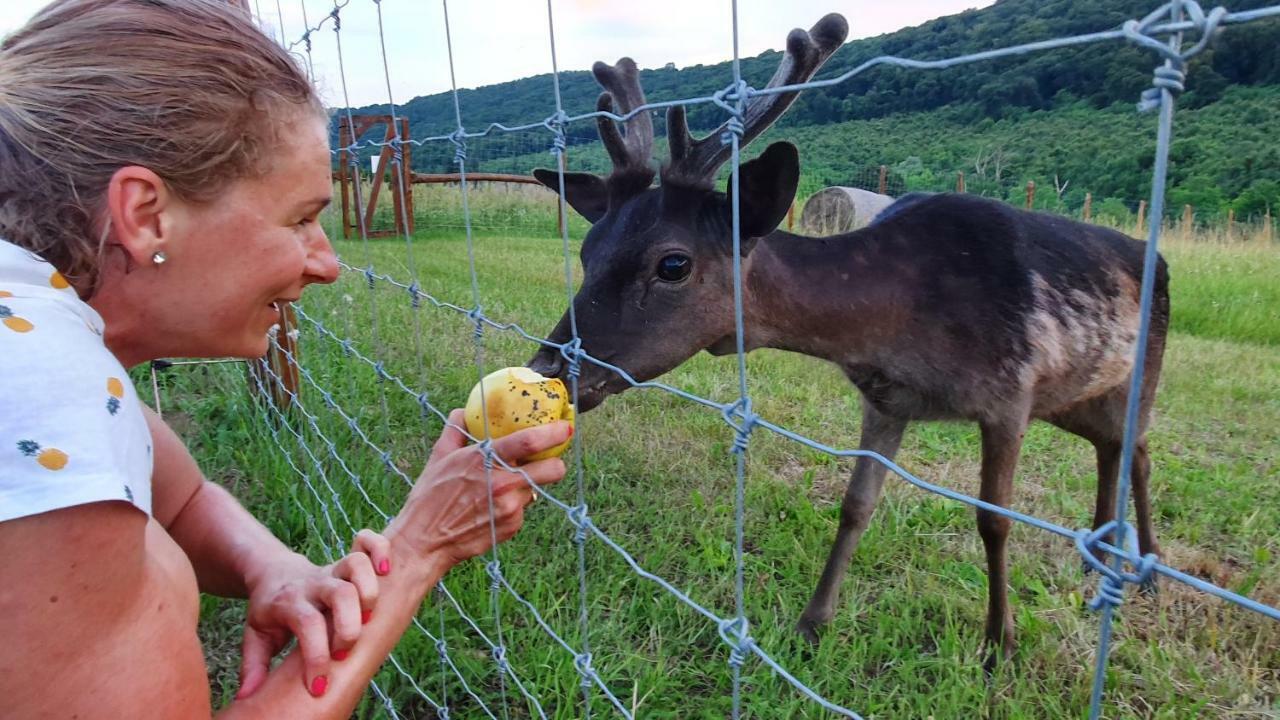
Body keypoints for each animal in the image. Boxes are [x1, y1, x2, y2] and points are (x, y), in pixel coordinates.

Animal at [522, 11, 1172, 666]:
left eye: (673, 263)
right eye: (587, 250)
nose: (550, 366)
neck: (902, 317)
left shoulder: (1011, 394)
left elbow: (995, 521)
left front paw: (999, 644)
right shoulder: (885, 400)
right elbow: (856, 506)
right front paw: (813, 623)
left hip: (1142, 370)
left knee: (1139, 451)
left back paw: (1149, 570)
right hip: (1077, 395)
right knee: (1111, 449)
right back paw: (1099, 560)